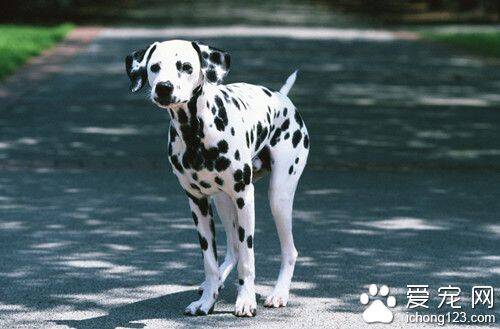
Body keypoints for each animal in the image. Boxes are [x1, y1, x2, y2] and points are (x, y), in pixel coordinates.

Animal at [125, 39, 308, 316]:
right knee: (233, 248)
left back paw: (279, 294)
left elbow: (248, 259)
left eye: (186, 66)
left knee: (288, 251)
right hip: (224, 203)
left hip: (278, 198)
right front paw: (207, 300)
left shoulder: (245, 198)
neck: (195, 133)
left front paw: (246, 300)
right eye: (154, 67)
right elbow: (210, 260)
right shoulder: (197, 203)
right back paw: (219, 281)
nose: (164, 88)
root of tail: (281, 97)